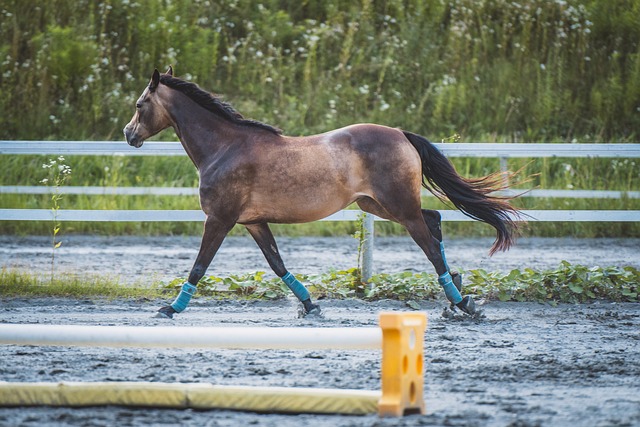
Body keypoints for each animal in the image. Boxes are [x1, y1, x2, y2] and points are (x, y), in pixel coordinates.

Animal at [124, 68, 520, 320]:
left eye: (141, 103)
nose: (129, 134)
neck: (225, 148)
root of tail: (400, 133)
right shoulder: (253, 222)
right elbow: (277, 263)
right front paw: (310, 305)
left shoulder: (219, 219)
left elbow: (199, 266)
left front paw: (170, 308)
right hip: (378, 204)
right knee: (435, 222)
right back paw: (456, 295)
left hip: (398, 207)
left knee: (429, 243)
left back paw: (463, 302)